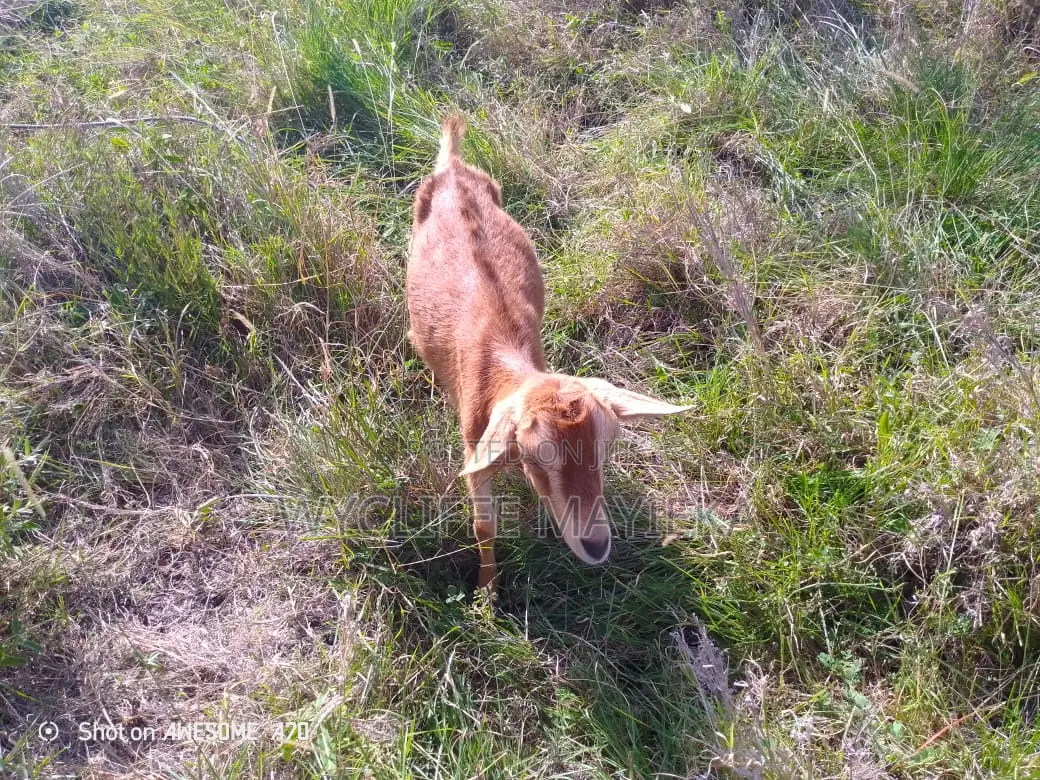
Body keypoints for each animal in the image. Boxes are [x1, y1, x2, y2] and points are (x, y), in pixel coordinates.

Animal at [406, 116, 692, 591]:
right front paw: (487, 591)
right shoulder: (475, 447)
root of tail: (454, 167)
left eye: (607, 447)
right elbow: (484, 525)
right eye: (537, 455)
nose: (596, 546)